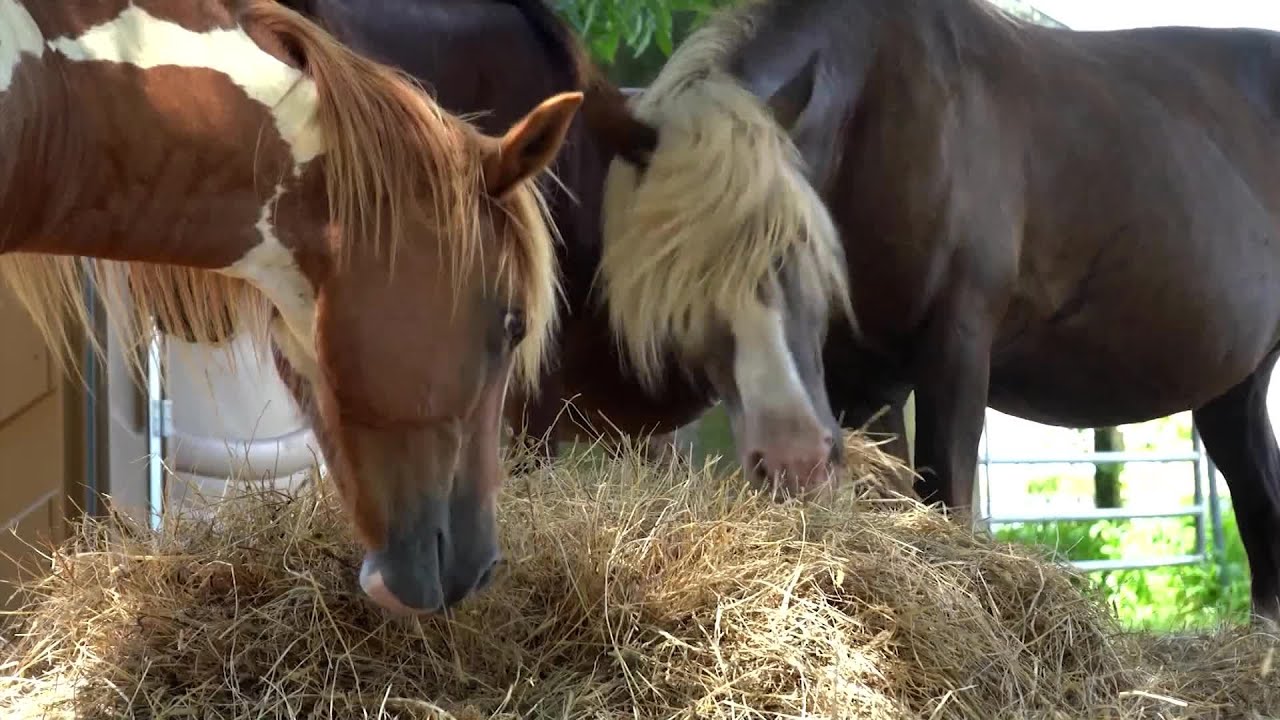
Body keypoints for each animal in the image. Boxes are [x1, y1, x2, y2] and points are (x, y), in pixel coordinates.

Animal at [592, 0, 1280, 623]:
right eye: (673, 284)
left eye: (803, 245)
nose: (795, 461)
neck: (889, 115)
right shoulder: (863, 385)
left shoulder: (955, 349)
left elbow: (944, 494)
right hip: (1235, 389)